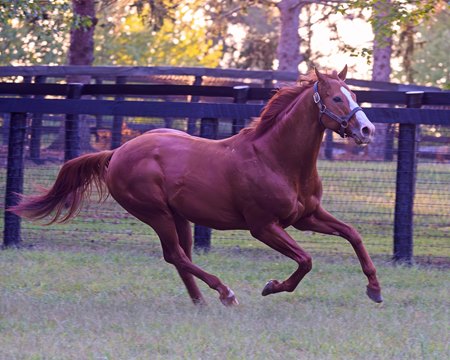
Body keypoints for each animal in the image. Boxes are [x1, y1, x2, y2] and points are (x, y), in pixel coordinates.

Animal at [9, 66, 384, 306]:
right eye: (336, 99)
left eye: (352, 94)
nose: (367, 130)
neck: (276, 159)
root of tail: (116, 152)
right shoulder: (264, 226)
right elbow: (306, 260)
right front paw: (272, 287)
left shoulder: (306, 217)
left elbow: (352, 234)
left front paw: (375, 289)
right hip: (156, 214)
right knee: (175, 254)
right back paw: (224, 293)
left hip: (179, 217)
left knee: (181, 257)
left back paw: (201, 300)